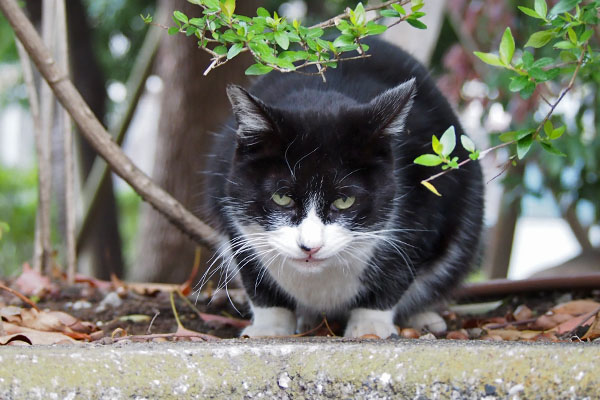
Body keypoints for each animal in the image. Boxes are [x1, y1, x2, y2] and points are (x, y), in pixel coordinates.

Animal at [204, 38, 486, 338]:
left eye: (344, 201)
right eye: (281, 197)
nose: (310, 247)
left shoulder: (425, 198)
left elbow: (400, 262)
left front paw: (370, 325)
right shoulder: (228, 201)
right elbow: (253, 271)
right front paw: (270, 327)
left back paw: (423, 318)